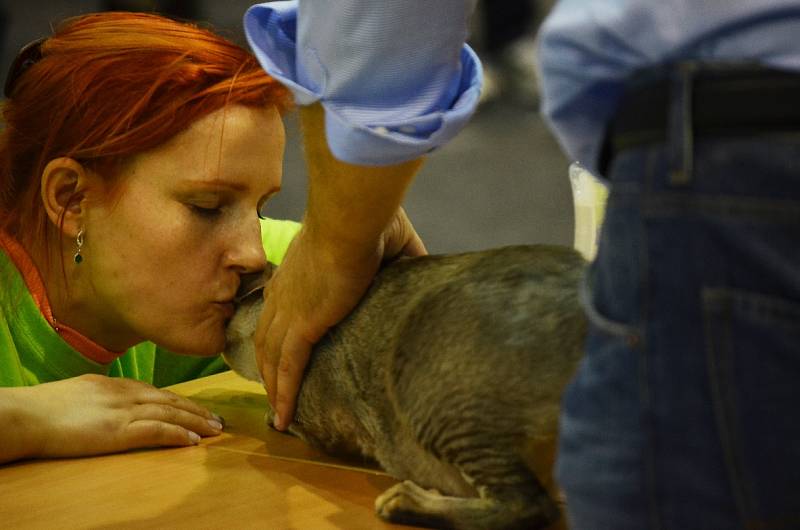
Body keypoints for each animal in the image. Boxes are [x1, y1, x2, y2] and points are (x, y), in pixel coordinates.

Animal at [225, 244, 588, 528]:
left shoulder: (320, 421)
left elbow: (289, 419)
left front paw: (273, 414)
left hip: (430, 392)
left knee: (529, 504)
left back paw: (406, 500)